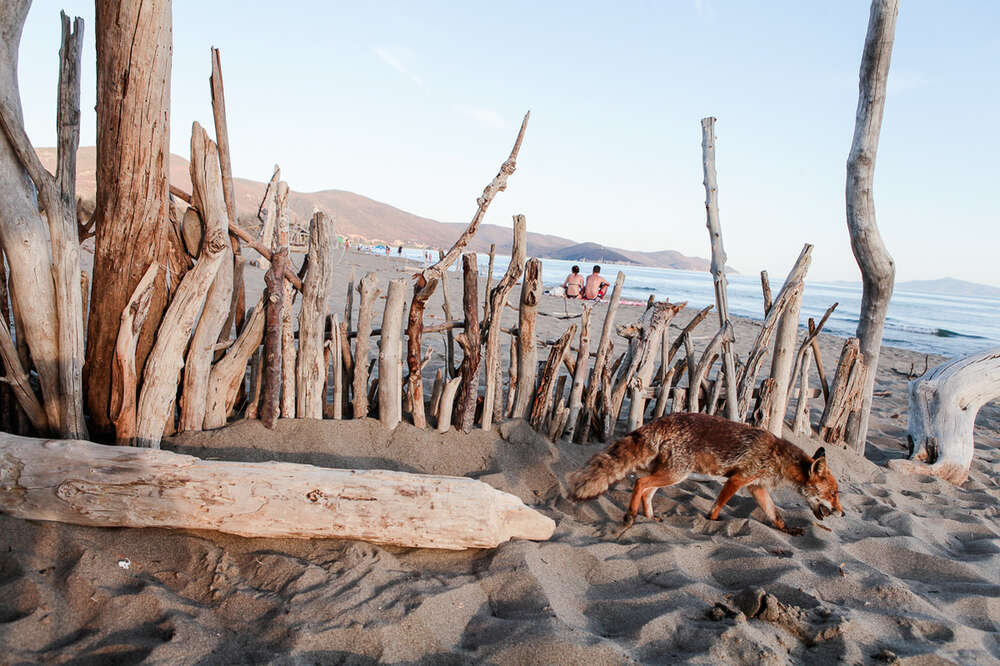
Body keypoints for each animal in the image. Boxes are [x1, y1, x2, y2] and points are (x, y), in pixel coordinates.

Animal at [567, 412, 844, 536]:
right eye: (833, 493)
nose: (843, 513)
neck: (777, 456)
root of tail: (662, 420)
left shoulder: (756, 487)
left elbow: (774, 514)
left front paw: (787, 530)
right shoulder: (738, 479)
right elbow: (718, 504)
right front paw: (712, 522)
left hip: (669, 474)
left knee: (647, 491)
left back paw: (650, 518)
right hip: (675, 474)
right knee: (641, 484)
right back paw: (630, 516)